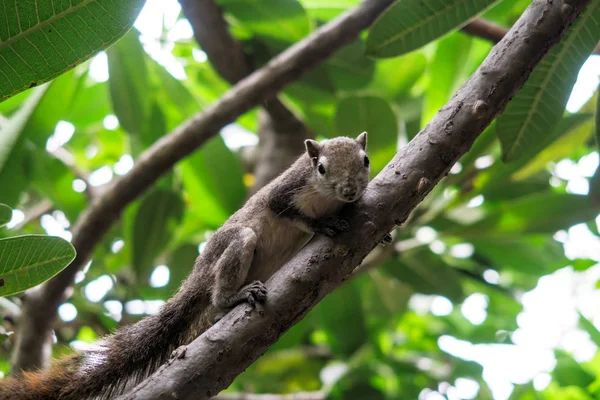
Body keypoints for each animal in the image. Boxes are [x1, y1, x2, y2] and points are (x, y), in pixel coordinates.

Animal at [0, 132, 386, 400]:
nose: (350, 190)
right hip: (235, 246)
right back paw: (232, 298)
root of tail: (197, 280)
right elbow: (289, 211)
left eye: (366, 160)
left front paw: (382, 236)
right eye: (321, 168)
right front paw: (322, 225)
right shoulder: (286, 191)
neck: (327, 198)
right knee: (221, 289)